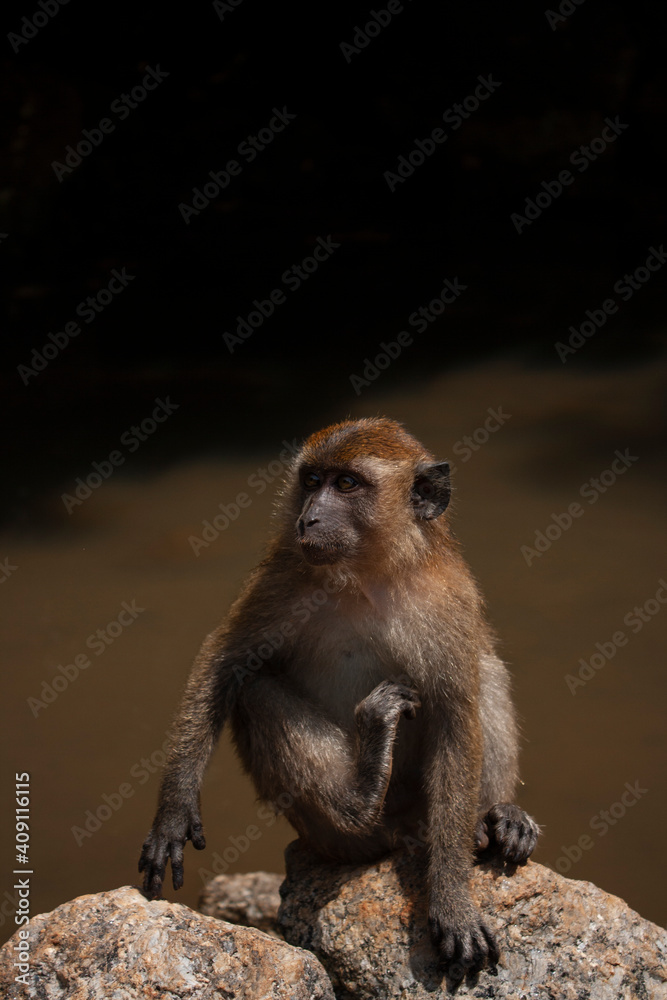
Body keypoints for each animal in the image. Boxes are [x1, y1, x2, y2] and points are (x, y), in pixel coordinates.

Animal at [139, 417, 539, 976]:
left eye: (347, 484)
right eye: (311, 481)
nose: (308, 519)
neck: (366, 574)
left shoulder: (450, 600)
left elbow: (456, 719)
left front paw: (452, 895)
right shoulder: (283, 573)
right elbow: (225, 661)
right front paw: (174, 811)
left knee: (486, 668)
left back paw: (495, 818)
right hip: (331, 837)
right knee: (256, 689)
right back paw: (360, 794)